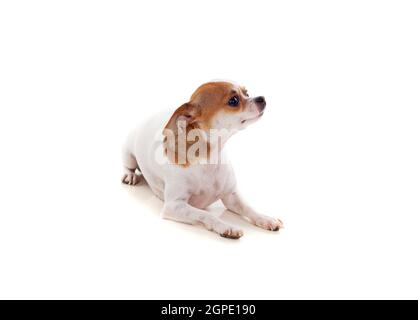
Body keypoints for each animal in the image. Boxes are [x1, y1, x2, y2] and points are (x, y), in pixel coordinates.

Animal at [122, 81, 282, 239]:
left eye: (247, 93)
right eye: (234, 101)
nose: (262, 98)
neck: (211, 158)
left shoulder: (231, 197)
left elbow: (248, 208)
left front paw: (266, 219)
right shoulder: (174, 206)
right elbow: (205, 214)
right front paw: (226, 226)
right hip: (128, 154)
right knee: (128, 166)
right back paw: (130, 175)